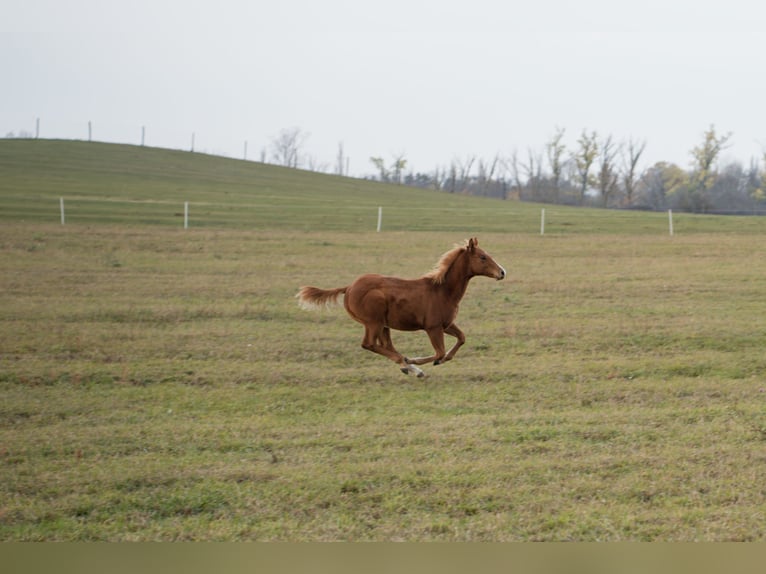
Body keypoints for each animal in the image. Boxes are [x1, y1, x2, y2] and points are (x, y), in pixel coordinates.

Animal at [296, 237, 506, 377]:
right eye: (483, 257)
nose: (502, 272)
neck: (442, 290)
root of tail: (348, 288)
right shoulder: (433, 327)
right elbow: (439, 351)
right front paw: (419, 360)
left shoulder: (446, 324)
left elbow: (461, 338)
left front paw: (435, 361)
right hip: (374, 321)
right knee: (369, 344)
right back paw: (410, 365)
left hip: (383, 324)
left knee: (384, 345)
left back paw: (408, 367)